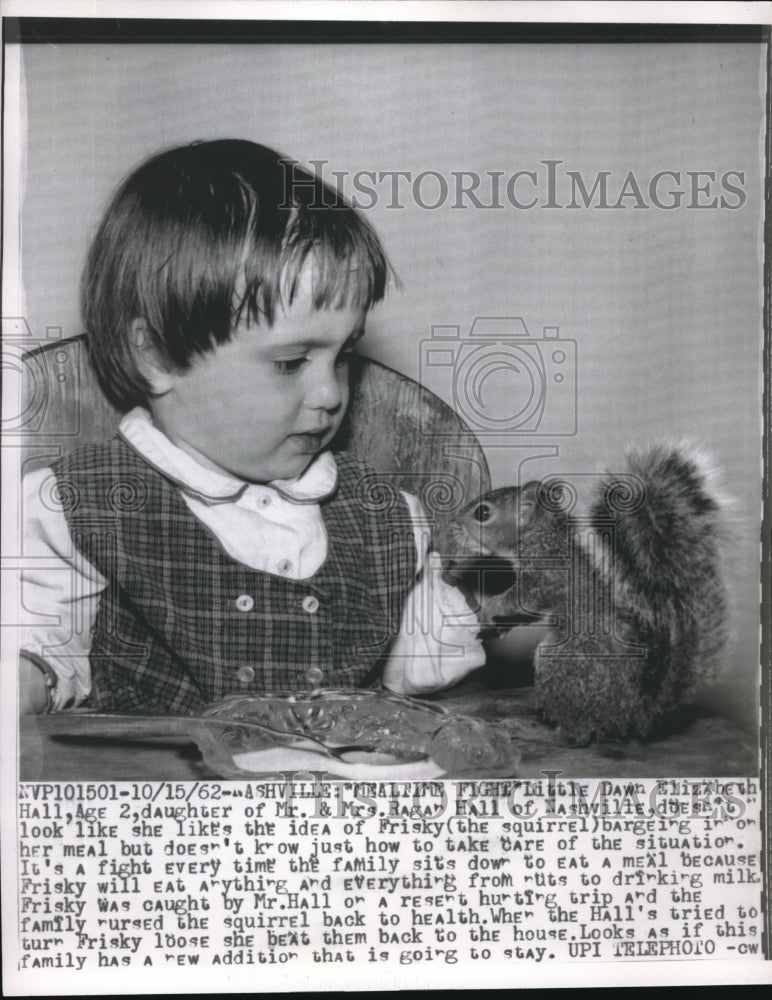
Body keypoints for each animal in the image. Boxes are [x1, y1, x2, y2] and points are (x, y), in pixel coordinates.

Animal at [440, 446, 728, 744]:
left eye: (483, 512)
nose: (453, 525)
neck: (539, 539)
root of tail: (629, 716)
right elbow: (524, 612)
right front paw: (495, 627)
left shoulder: (547, 576)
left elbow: (522, 598)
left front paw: (489, 608)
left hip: (563, 663)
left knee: (581, 731)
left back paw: (553, 733)